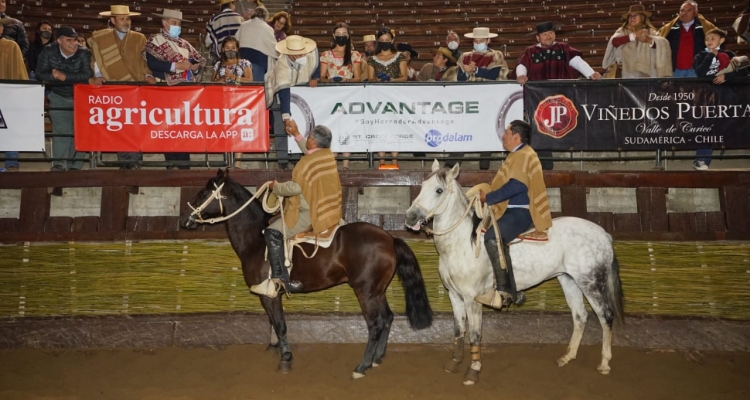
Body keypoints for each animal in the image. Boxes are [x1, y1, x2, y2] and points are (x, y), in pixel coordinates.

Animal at [178, 170, 432, 380]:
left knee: (376, 324)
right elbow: (272, 322)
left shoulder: (269, 294)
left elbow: (280, 324)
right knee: (387, 318)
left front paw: (285, 358)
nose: (183, 220)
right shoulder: (271, 294)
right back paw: (377, 359)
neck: (256, 239)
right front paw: (274, 349)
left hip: (366, 292)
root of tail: (388, 238)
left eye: (204, 192)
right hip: (377, 291)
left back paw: (362, 366)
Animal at [408, 161, 624, 386]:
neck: (463, 243)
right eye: (422, 186)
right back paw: (567, 356)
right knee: (580, 316)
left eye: (439, 190)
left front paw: (473, 371)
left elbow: (475, 334)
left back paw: (604, 363)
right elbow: (459, 330)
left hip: (590, 282)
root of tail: (604, 234)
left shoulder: (472, 299)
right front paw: (454, 362)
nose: (410, 216)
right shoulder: (455, 296)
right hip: (569, 280)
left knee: (605, 316)